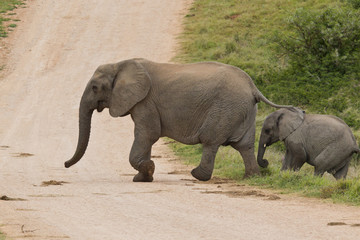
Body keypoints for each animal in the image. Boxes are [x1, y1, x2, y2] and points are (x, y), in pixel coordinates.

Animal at [64, 58, 290, 182]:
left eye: (95, 88)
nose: (65, 164)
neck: (120, 64)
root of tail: (253, 87)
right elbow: (147, 137)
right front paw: (143, 178)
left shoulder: (145, 101)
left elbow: (147, 134)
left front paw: (148, 169)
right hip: (245, 110)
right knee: (245, 146)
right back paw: (251, 177)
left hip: (225, 108)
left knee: (211, 141)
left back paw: (197, 175)